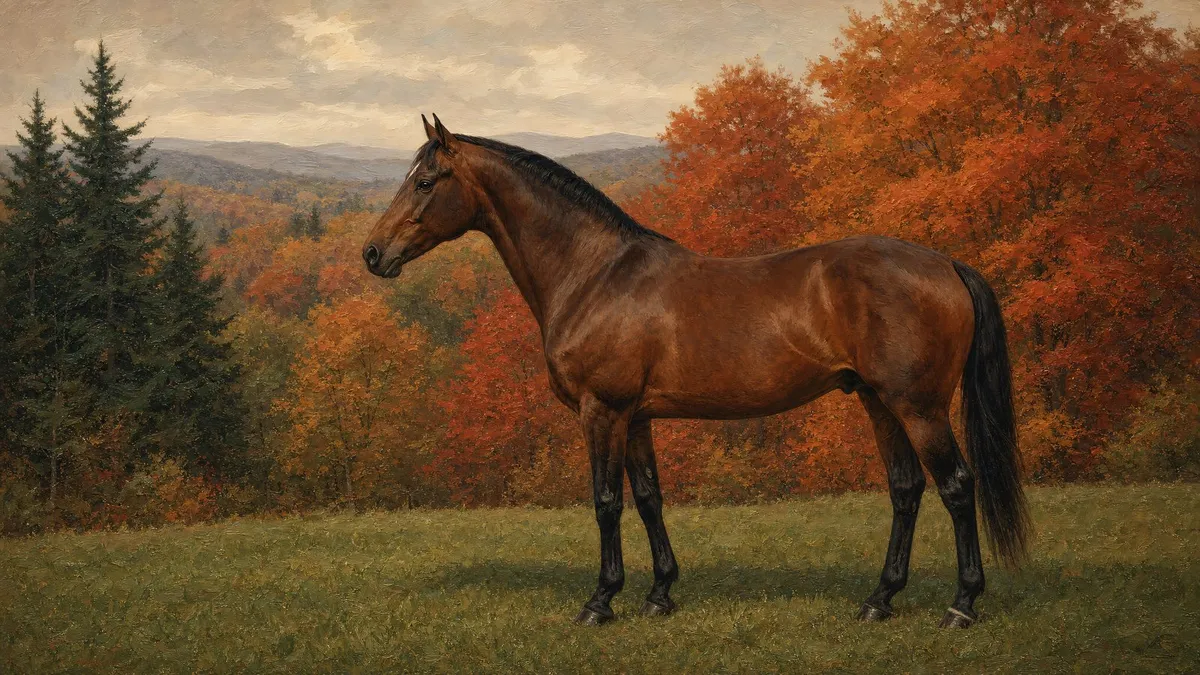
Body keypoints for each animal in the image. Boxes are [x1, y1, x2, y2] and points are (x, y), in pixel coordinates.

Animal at [362, 114, 1030, 629]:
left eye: (426, 180)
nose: (372, 254)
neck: (594, 275)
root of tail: (946, 263)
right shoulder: (635, 418)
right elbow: (649, 498)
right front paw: (660, 594)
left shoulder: (602, 411)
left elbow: (606, 501)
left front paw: (600, 602)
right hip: (878, 401)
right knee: (906, 489)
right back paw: (878, 601)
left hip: (919, 408)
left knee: (956, 487)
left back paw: (961, 606)